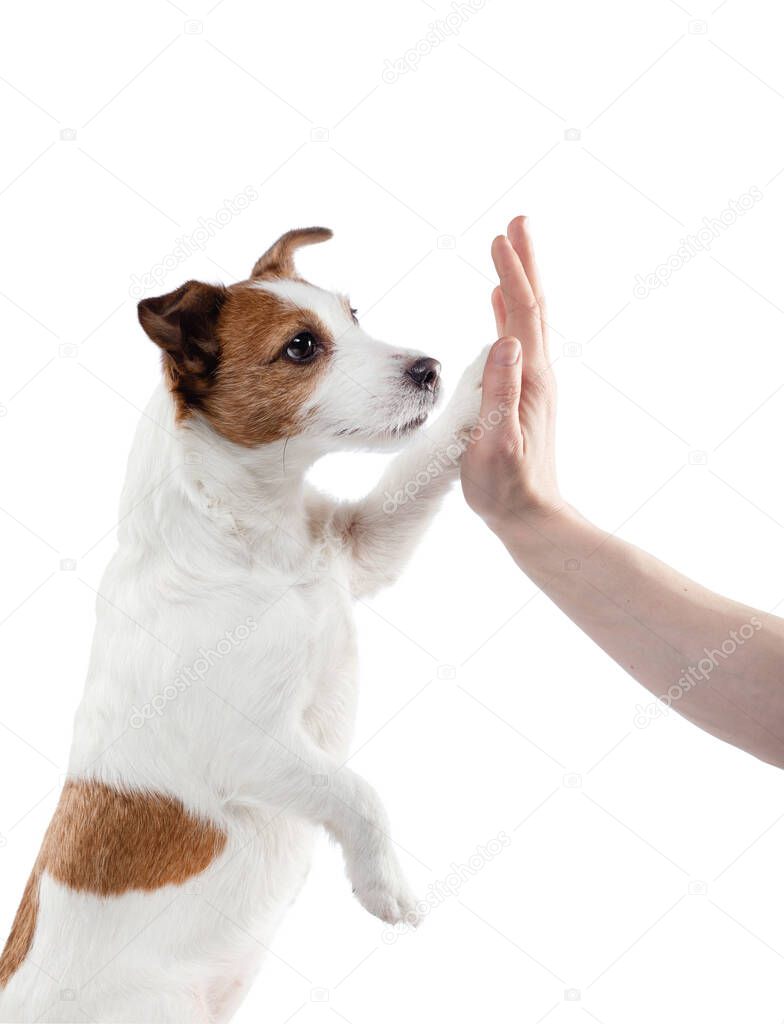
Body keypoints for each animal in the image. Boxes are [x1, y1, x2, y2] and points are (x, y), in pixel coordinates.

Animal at [0, 228, 487, 1019]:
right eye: (300, 347)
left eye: (354, 314)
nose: (428, 369)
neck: (257, 546)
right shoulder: (250, 747)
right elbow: (359, 792)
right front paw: (385, 886)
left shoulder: (362, 550)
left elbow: (416, 466)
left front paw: (489, 376)